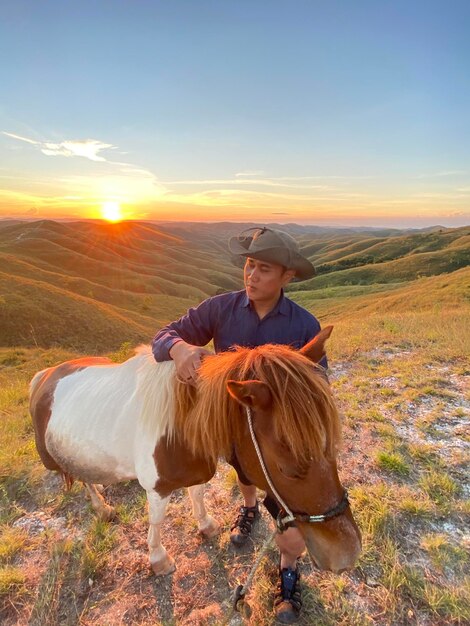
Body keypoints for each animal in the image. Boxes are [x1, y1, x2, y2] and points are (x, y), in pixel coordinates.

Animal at [28, 326, 360, 576]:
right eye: (286, 468)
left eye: (333, 447)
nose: (347, 553)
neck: (180, 419)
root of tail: (44, 374)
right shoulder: (157, 487)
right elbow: (157, 520)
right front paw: (158, 559)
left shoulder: (197, 470)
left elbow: (197, 495)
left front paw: (206, 525)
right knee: (78, 476)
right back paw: (101, 506)